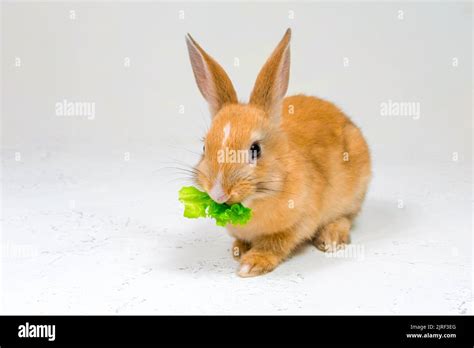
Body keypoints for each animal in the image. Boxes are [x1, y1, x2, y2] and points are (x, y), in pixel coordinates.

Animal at [184, 27, 370, 278]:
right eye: (204, 147)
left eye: (255, 149)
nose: (218, 194)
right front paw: (238, 250)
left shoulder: (300, 222)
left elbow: (277, 243)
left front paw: (251, 264)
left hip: (354, 194)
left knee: (347, 217)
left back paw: (331, 239)